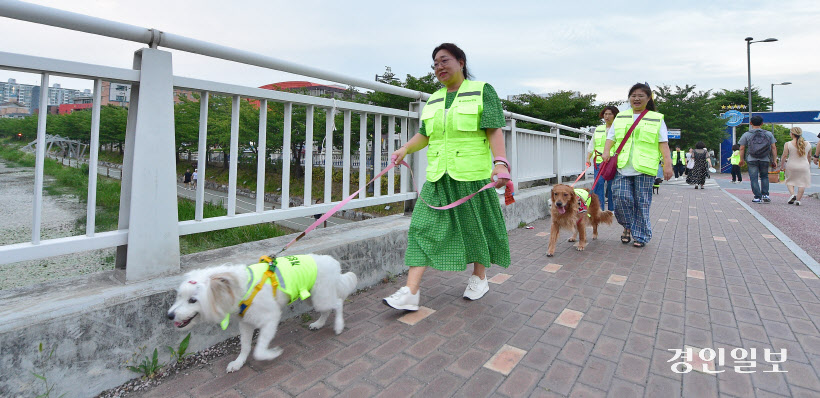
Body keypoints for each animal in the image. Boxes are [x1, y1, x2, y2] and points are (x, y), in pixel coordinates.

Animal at [168, 255, 358, 374]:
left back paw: (339, 326)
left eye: (193, 300)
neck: (239, 288)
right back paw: (319, 323)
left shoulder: (270, 319)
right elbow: (245, 346)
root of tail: (333, 262)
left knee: (338, 303)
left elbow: (259, 350)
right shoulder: (245, 323)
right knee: (327, 309)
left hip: (320, 297)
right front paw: (238, 363)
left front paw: (272, 353)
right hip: (312, 298)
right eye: (179, 296)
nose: (169, 316)